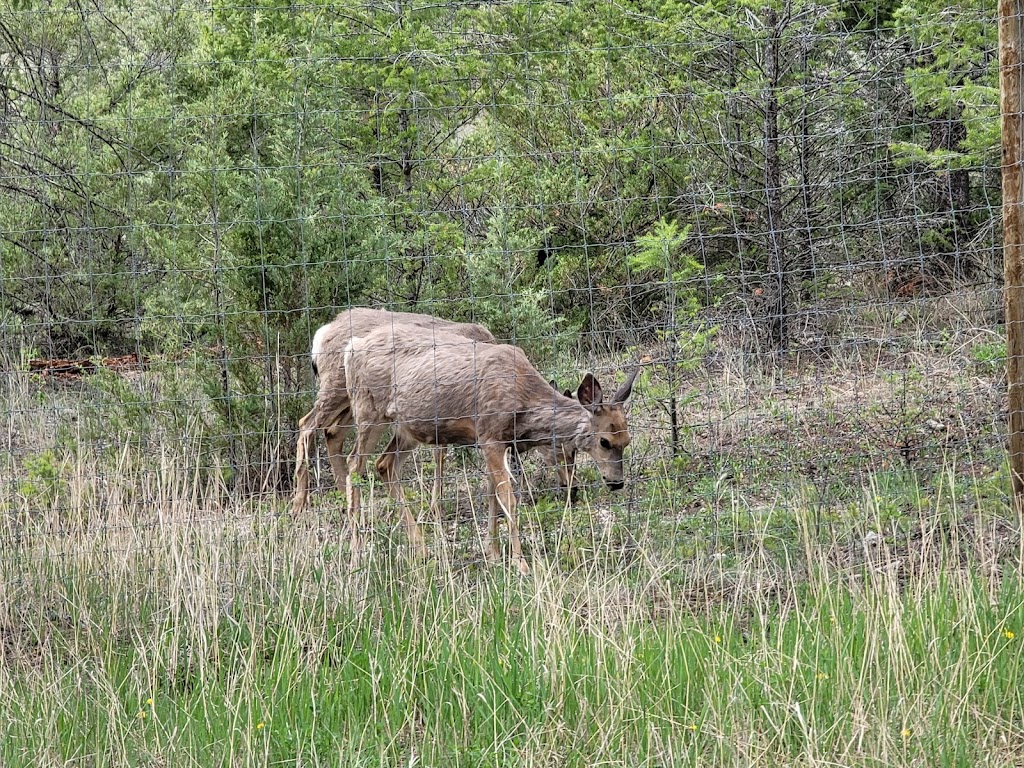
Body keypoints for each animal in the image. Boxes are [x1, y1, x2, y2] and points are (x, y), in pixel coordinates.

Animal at [290, 309, 497, 518]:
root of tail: (323, 332)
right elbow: (440, 452)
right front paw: (436, 509)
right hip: (336, 388)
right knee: (307, 425)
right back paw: (299, 503)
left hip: (352, 402)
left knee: (332, 433)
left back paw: (344, 500)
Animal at [344, 325, 634, 577]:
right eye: (605, 441)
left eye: (627, 440)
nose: (617, 482)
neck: (523, 405)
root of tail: (352, 347)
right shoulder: (490, 436)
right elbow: (508, 498)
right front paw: (520, 564)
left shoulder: (497, 443)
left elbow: (492, 496)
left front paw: (493, 556)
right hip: (368, 410)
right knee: (353, 465)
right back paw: (356, 555)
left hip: (407, 427)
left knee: (384, 464)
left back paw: (421, 550)